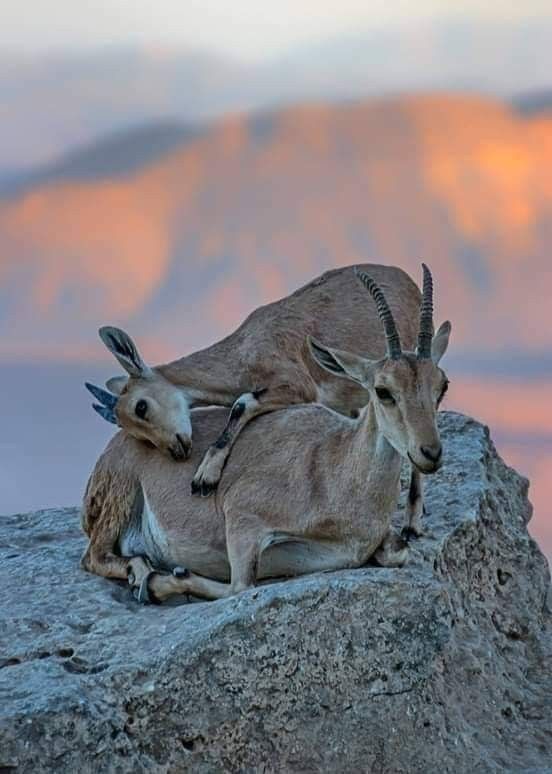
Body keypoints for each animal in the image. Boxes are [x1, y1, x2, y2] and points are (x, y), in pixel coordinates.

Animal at [83, 268, 452, 608]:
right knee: (95, 556)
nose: (177, 450)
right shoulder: (243, 517)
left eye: (141, 406)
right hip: (120, 497)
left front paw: (206, 475)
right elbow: (240, 585)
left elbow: (242, 404)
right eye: (384, 390)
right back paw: (141, 571)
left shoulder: (295, 387)